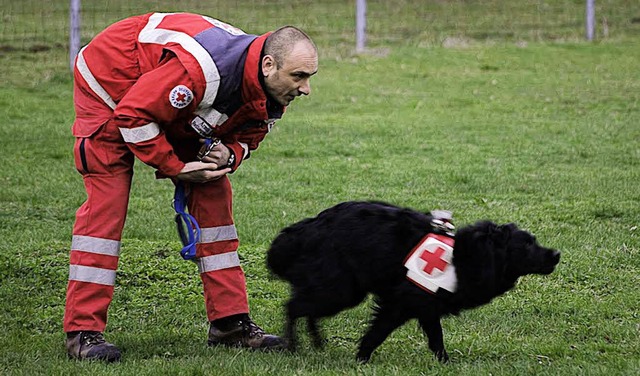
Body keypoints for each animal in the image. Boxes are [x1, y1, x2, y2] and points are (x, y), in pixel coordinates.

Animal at [264, 201, 560, 362]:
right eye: (527, 245)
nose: (556, 254)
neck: (469, 255)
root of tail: (308, 228)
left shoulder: (422, 307)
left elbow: (429, 337)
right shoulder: (403, 303)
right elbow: (381, 333)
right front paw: (362, 358)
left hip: (340, 289)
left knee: (306, 309)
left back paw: (317, 342)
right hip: (340, 290)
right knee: (294, 307)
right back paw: (293, 345)